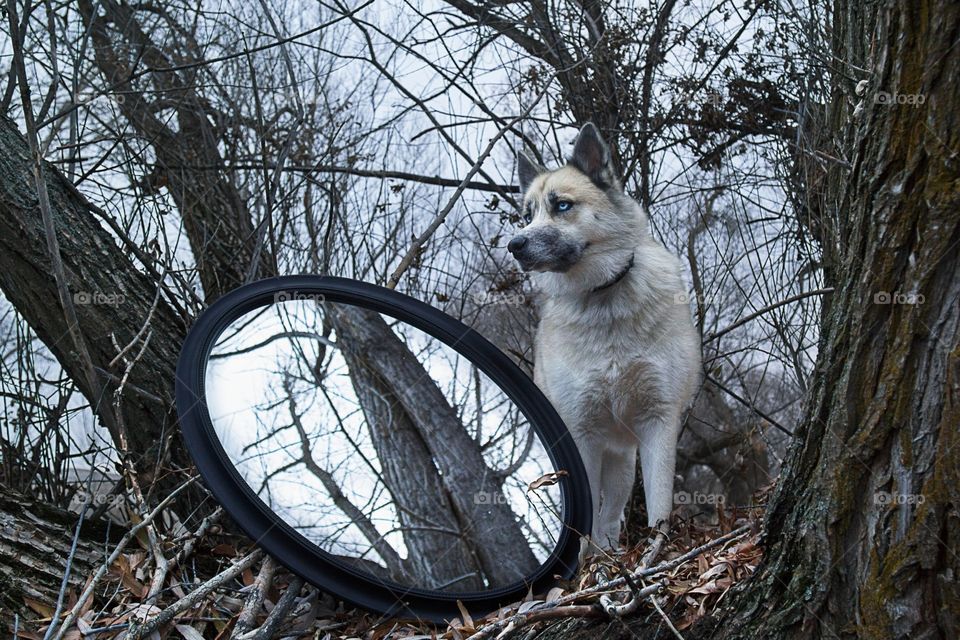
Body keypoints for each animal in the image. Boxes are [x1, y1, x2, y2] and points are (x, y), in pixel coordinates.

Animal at [506, 124, 700, 556]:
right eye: (526, 216)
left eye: (562, 205)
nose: (514, 245)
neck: (604, 296)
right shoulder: (582, 433)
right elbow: (585, 515)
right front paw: (584, 565)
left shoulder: (658, 420)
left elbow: (658, 501)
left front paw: (657, 553)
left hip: (623, 459)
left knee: (611, 513)